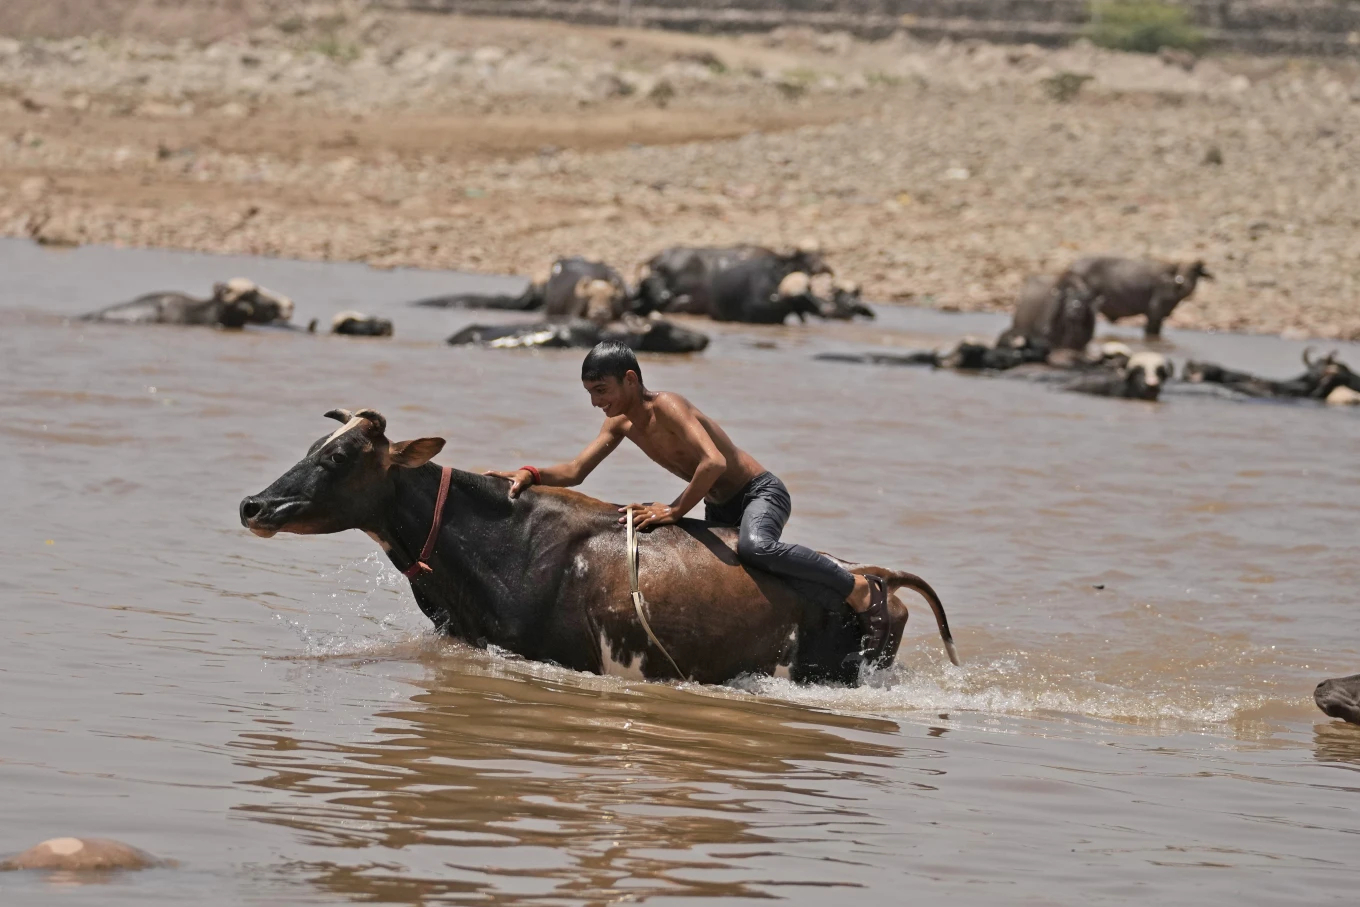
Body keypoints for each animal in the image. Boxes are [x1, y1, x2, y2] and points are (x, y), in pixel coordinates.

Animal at [1060, 257, 1213, 338]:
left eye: (1196, 272)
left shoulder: (1161, 316)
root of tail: (1072, 266)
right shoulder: (1154, 314)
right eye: (1183, 269)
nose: (1183, 281)